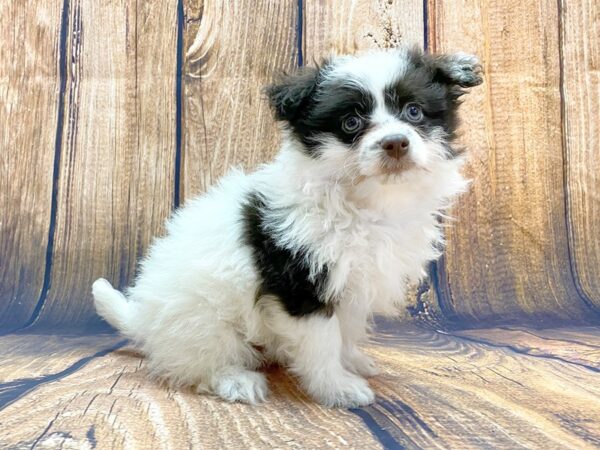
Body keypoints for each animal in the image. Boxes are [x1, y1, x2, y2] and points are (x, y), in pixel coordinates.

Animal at [96, 48, 486, 408]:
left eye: (414, 112)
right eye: (351, 123)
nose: (395, 143)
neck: (363, 202)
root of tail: (143, 320)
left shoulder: (350, 285)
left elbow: (344, 331)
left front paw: (351, 361)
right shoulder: (300, 282)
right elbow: (323, 340)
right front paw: (336, 388)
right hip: (201, 319)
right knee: (200, 360)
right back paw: (235, 379)